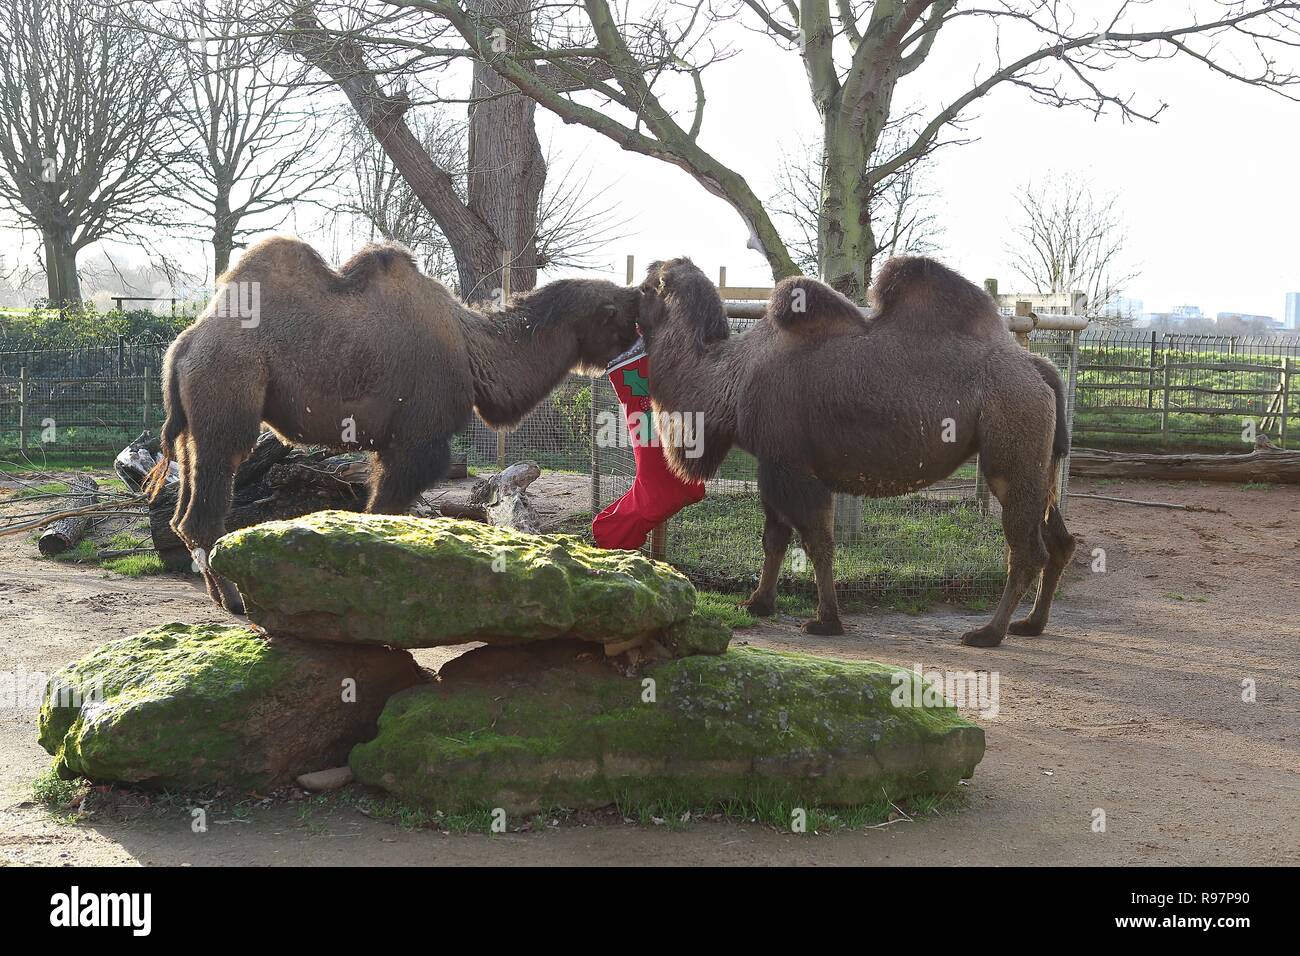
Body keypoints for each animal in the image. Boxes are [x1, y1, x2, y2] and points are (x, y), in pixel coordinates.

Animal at [148, 235, 639, 608]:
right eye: (624, 314)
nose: (642, 299)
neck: (474, 351)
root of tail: (183, 347)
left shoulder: (391, 445)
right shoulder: (416, 441)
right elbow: (383, 511)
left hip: (195, 422)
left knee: (185, 508)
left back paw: (221, 594)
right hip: (227, 388)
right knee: (208, 501)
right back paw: (235, 600)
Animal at [639, 254, 1076, 647]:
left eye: (645, 288)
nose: (628, 296)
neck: (731, 379)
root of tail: (1037, 367)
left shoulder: (792, 465)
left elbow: (816, 542)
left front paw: (825, 621)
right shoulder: (773, 463)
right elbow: (774, 537)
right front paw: (758, 603)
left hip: (1012, 444)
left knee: (1027, 549)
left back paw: (989, 633)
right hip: (1041, 459)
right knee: (1059, 539)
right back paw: (1031, 624)